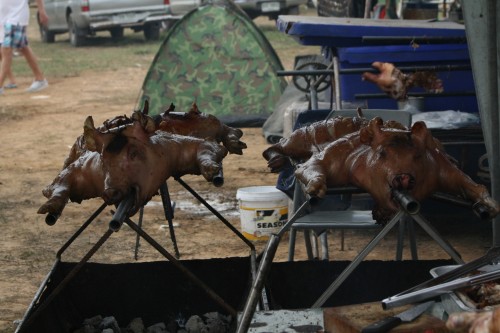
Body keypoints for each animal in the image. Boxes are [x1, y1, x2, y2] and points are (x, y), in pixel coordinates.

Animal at [292, 116, 500, 223]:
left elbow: (467, 181)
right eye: (381, 153)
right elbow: (310, 165)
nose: (404, 177)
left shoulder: (441, 166)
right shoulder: (341, 153)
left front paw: (491, 207)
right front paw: (316, 190)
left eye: (417, 156)